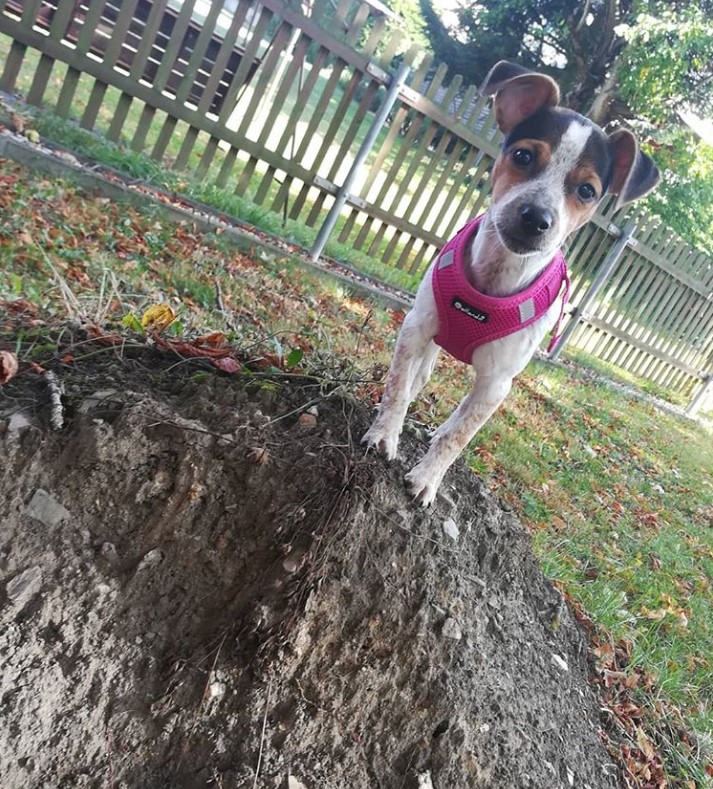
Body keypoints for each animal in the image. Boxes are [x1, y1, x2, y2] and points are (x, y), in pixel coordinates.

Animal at [364, 60, 660, 504]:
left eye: (587, 190)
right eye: (523, 155)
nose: (537, 218)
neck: (495, 276)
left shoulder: (497, 384)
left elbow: (458, 436)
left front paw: (428, 479)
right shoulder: (415, 329)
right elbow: (397, 387)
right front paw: (384, 435)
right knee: (420, 375)